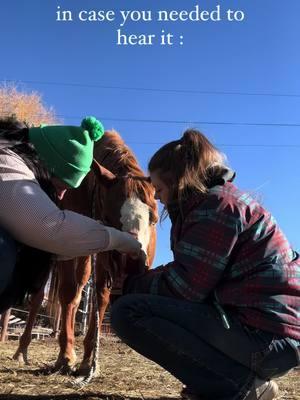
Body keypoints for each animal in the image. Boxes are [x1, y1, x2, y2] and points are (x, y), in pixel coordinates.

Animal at [13, 132, 159, 376]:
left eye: (154, 219)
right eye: (109, 217)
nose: (131, 267)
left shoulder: (103, 256)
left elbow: (100, 297)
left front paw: (88, 359)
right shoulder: (67, 241)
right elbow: (67, 293)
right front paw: (65, 356)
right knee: (42, 296)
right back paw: (23, 351)